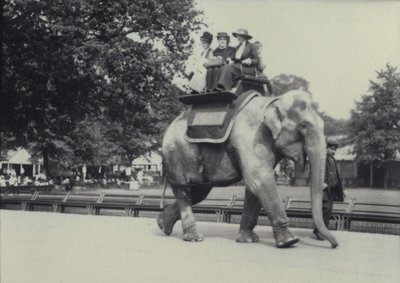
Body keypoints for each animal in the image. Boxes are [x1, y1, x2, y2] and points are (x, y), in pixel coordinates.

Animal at [156, 90, 338, 248]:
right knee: (184, 191)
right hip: (177, 152)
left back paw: (162, 225)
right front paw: (289, 242)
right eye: (304, 125)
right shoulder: (251, 137)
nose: (335, 245)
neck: (274, 100)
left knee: (198, 192)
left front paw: (248, 240)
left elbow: (254, 187)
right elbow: (259, 179)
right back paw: (193, 238)